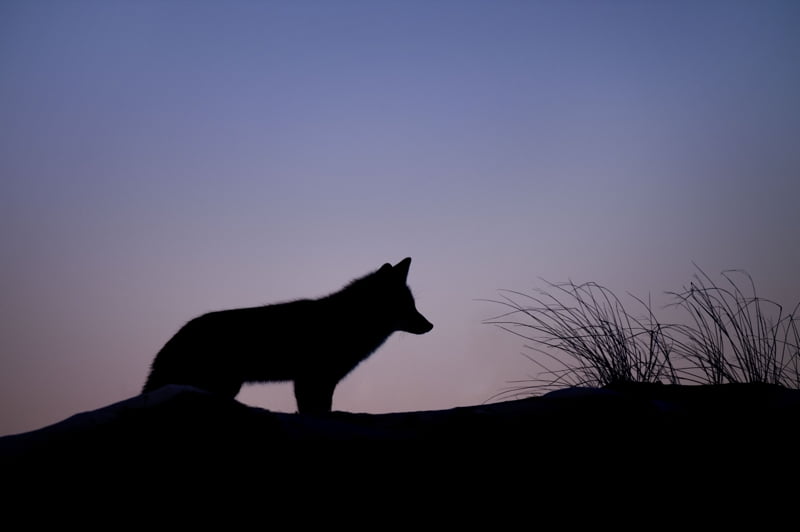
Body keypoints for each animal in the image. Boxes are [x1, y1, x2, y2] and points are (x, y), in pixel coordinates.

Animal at [142, 257, 433, 414]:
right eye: (406, 306)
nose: (430, 326)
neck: (347, 321)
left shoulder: (319, 381)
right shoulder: (312, 379)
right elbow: (315, 410)